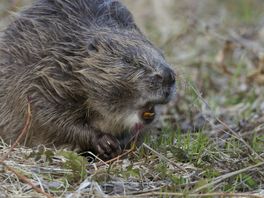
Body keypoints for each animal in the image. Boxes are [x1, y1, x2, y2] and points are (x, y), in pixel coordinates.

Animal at [0, 0, 177, 159]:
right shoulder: (43, 80)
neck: (70, 56)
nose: (168, 77)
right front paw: (106, 143)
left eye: (162, 54)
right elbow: (48, 118)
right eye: (128, 60)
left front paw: (122, 143)